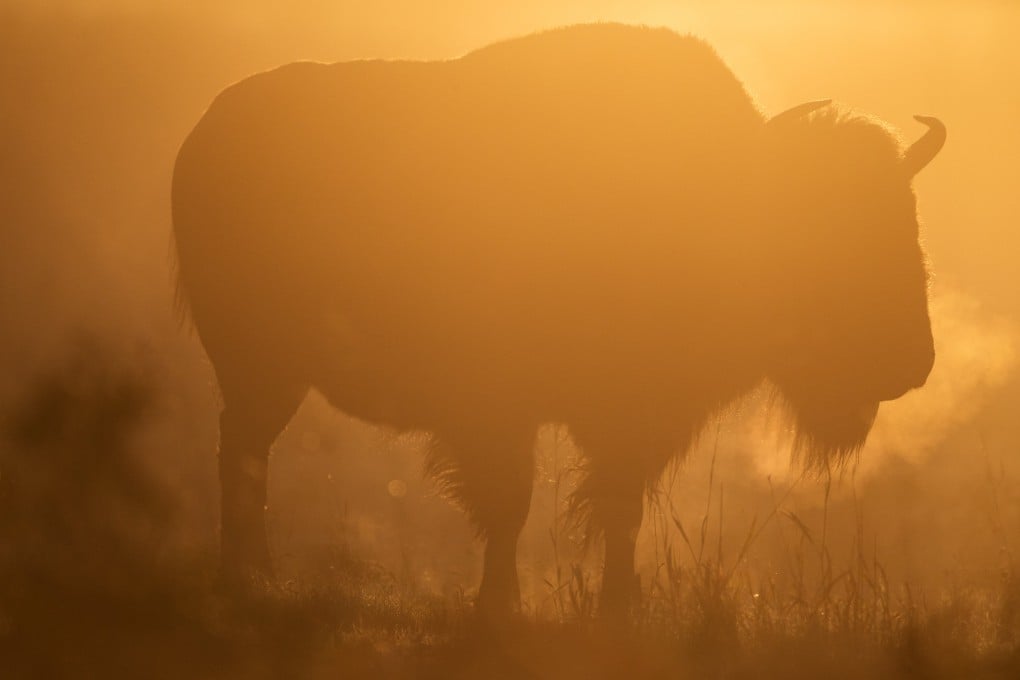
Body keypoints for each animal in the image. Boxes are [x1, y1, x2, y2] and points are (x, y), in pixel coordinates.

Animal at [171, 23, 944, 616]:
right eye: (833, 231)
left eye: (906, 221)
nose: (914, 361)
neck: (729, 195)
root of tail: (203, 133)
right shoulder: (499, 414)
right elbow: (511, 504)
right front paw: (500, 608)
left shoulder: (631, 424)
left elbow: (618, 511)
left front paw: (620, 609)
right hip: (260, 370)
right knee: (242, 456)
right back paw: (250, 580)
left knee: (244, 455)